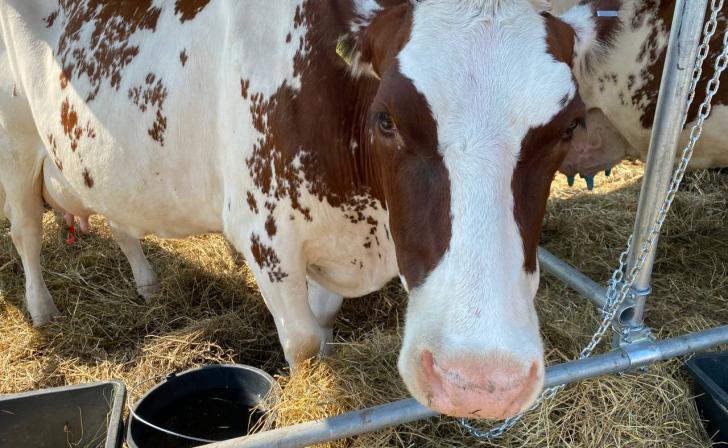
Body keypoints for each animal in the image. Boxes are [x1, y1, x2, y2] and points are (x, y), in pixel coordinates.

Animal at [1, 0, 626, 419]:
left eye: (570, 126)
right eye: (386, 119)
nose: (479, 382)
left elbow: (323, 326)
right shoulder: (265, 237)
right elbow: (300, 343)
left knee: (118, 217)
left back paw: (148, 284)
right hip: (17, 139)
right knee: (26, 231)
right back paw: (41, 310)